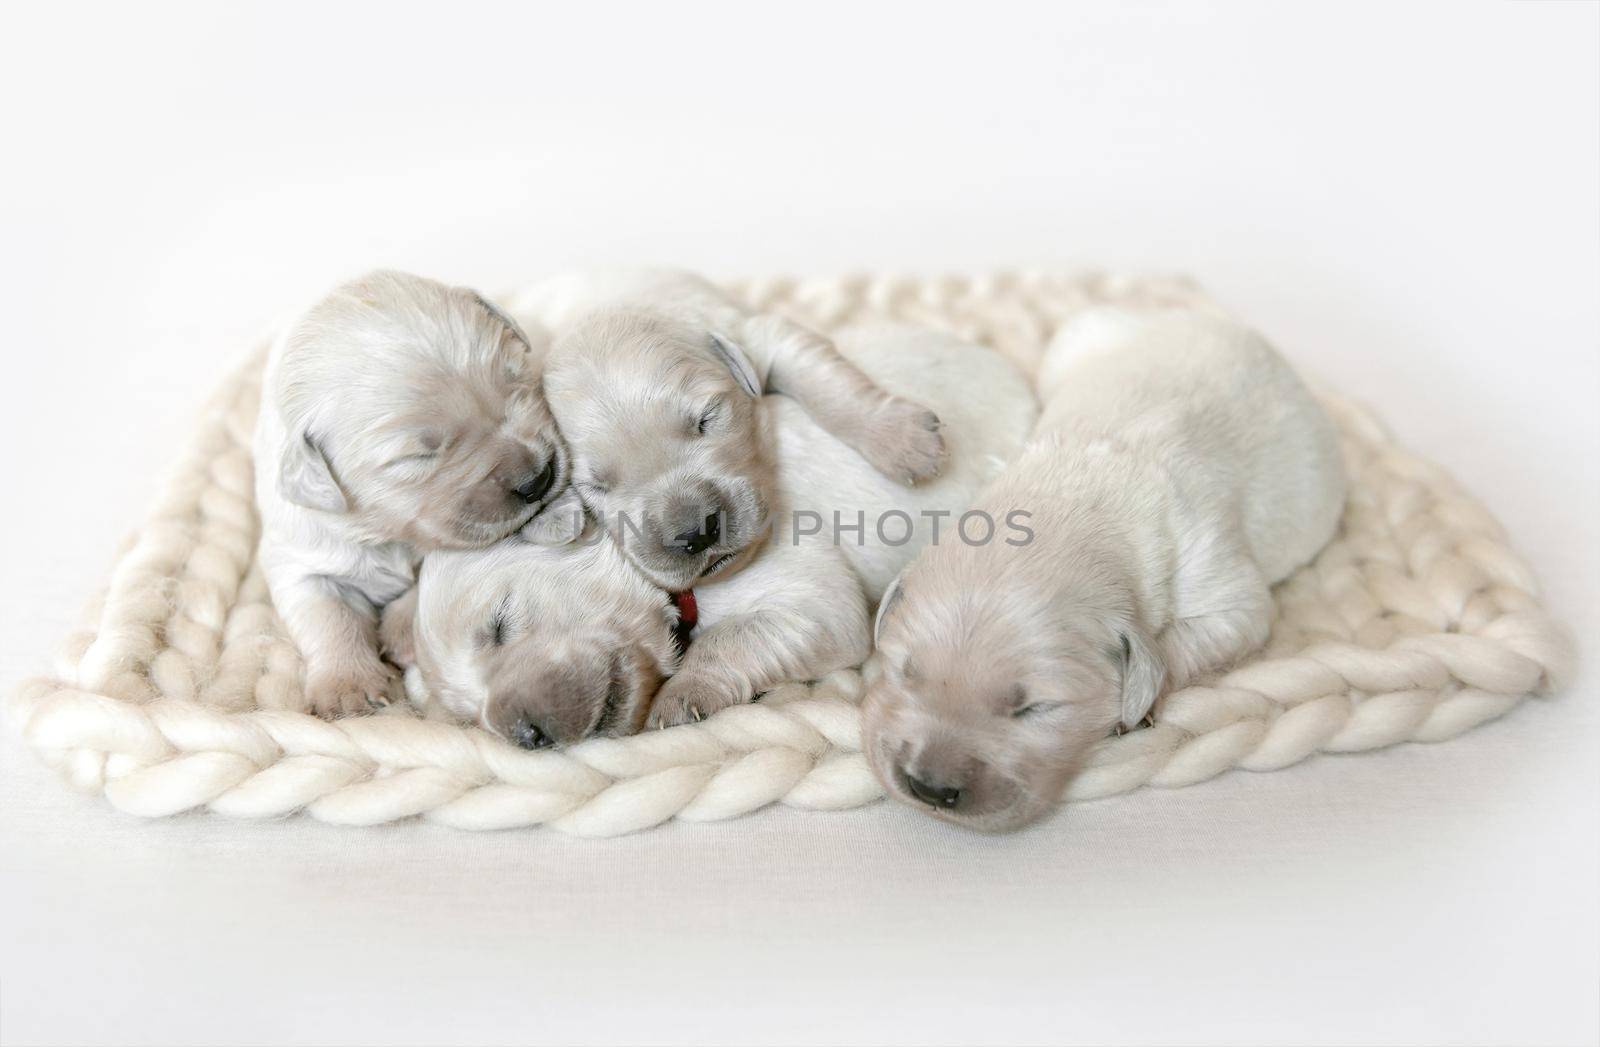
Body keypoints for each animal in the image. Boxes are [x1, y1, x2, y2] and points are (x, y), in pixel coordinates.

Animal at [254, 270, 569, 723]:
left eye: (517, 377)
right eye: (418, 456)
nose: (538, 479)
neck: (385, 531)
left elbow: (429, 570)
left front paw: (404, 630)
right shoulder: (300, 557)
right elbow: (328, 616)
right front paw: (348, 688)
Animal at [387, 326, 1036, 746]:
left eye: (499, 624)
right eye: (468, 717)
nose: (524, 734)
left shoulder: (813, 600)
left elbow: (737, 637)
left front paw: (682, 696)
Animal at [502, 270, 947, 598]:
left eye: (707, 419)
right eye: (597, 487)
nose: (695, 534)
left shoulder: (753, 333)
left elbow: (823, 380)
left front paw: (905, 441)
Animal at [857, 307, 1344, 832]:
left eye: (1034, 708)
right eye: (906, 673)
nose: (929, 788)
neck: (1073, 505)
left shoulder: (1223, 582)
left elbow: (1214, 628)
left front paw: (1139, 707)